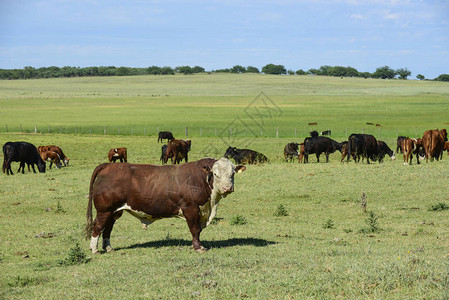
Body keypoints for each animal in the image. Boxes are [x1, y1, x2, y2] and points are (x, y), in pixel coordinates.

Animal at [84, 157, 245, 253]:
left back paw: (108, 248)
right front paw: (198, 247)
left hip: (114, 211)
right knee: (98, 226)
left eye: (232, 174)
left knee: (107, 228)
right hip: (104, 210)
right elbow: (195, 230)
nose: (227, 188)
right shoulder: (190, 208)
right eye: (216, 175)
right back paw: (95, 249)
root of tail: (109, 165)